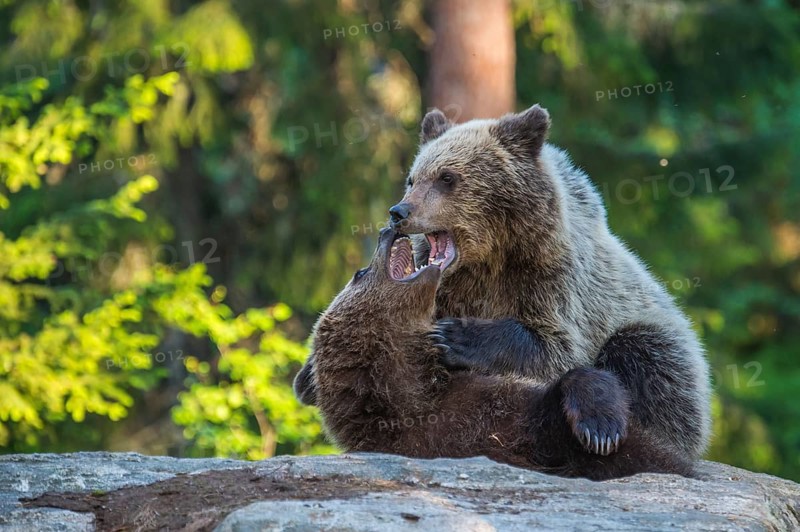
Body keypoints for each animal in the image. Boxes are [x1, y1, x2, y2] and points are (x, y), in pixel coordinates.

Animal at [302, 227, 692, 480]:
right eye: (359, 272)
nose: (386, 228)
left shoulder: (501, 404)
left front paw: (600, 426)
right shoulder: (455, 436)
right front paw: (600, 432)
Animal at [378, 104, 711, 460]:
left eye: (447, 177)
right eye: (412, 179)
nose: (399, 212)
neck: (489, 258)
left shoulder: (554, 278)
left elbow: (557, 349)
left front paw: (456, 336)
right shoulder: (448, 289)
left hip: (662, 336)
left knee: (647, 357)